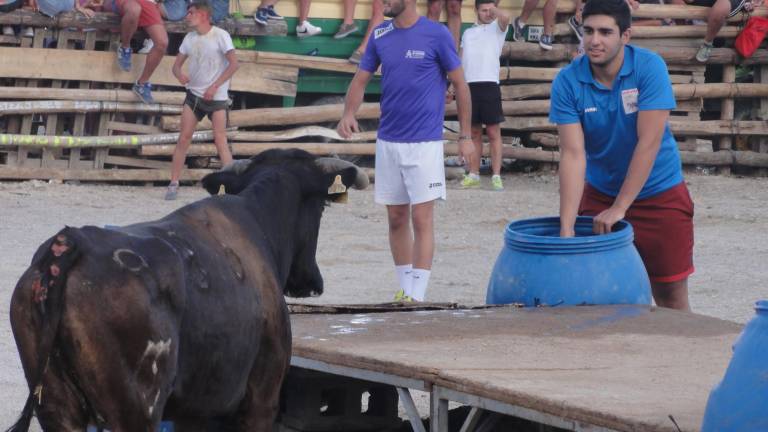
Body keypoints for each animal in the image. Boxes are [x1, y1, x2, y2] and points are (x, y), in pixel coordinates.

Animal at [3, 149, 368, 432]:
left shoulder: (195, 412)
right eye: (322, 207)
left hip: (56, 407)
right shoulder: (261, 400)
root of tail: (69, 244)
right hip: (136, 410)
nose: (312, 282)